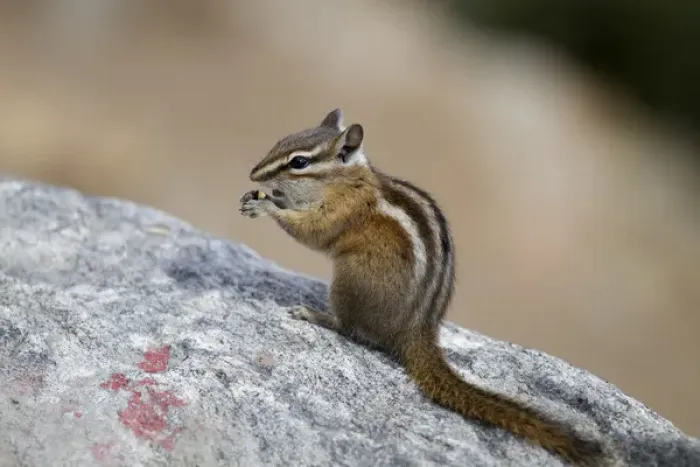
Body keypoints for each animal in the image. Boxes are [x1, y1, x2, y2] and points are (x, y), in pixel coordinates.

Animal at [239, 109, 604, 465]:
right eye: (281, 140)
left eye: (299, 162)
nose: (254, 175)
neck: (347, 181)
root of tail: (418, 330)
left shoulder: (341, 214)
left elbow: (312, 233)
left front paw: (267, 204)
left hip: (348, 281)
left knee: (349, 328)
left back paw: (315, 314)